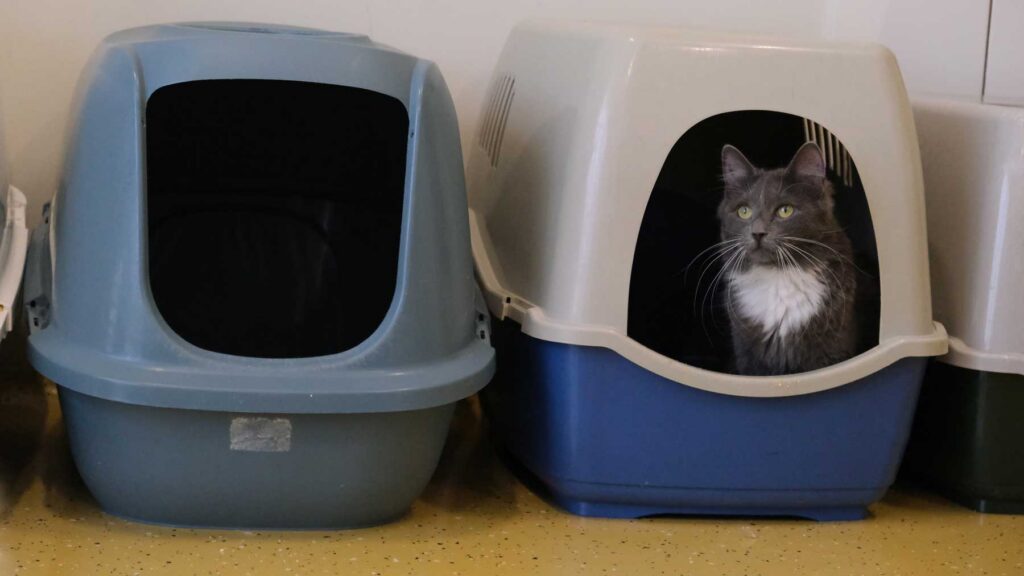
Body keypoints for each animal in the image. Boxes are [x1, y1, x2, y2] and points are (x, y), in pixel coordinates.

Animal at [717, 142, 857, 375]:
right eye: (744, 211)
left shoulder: (829, 353)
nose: (757, 233)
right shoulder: (748, 358)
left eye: (785, 210)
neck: (777, 276)